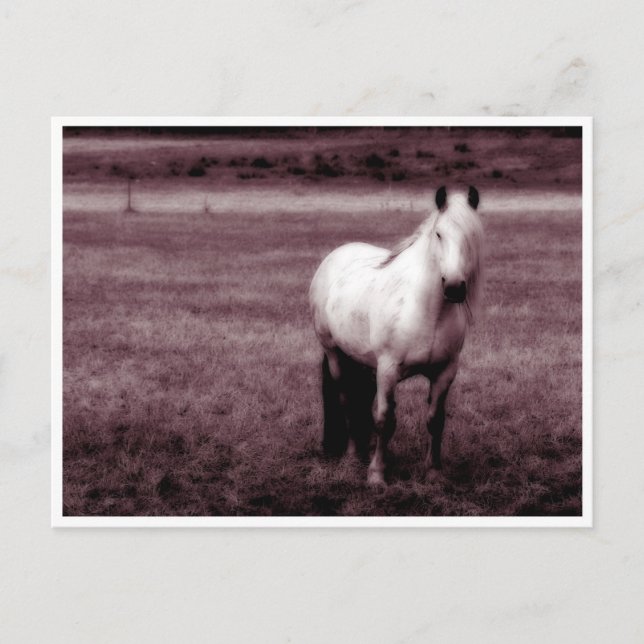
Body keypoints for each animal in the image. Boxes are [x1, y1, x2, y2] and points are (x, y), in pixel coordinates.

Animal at [309, 185, 483, 485]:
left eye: (471, 236)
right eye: (439, 234)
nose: (454, 287)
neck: (429, 312)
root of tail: (336, 255)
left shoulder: (445, 372)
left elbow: (435, 421)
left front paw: (433, 472)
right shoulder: (388, 370)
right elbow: (385, 420)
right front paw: (377, 475)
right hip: (335, 355)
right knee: (346, 400)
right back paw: (353, 456)